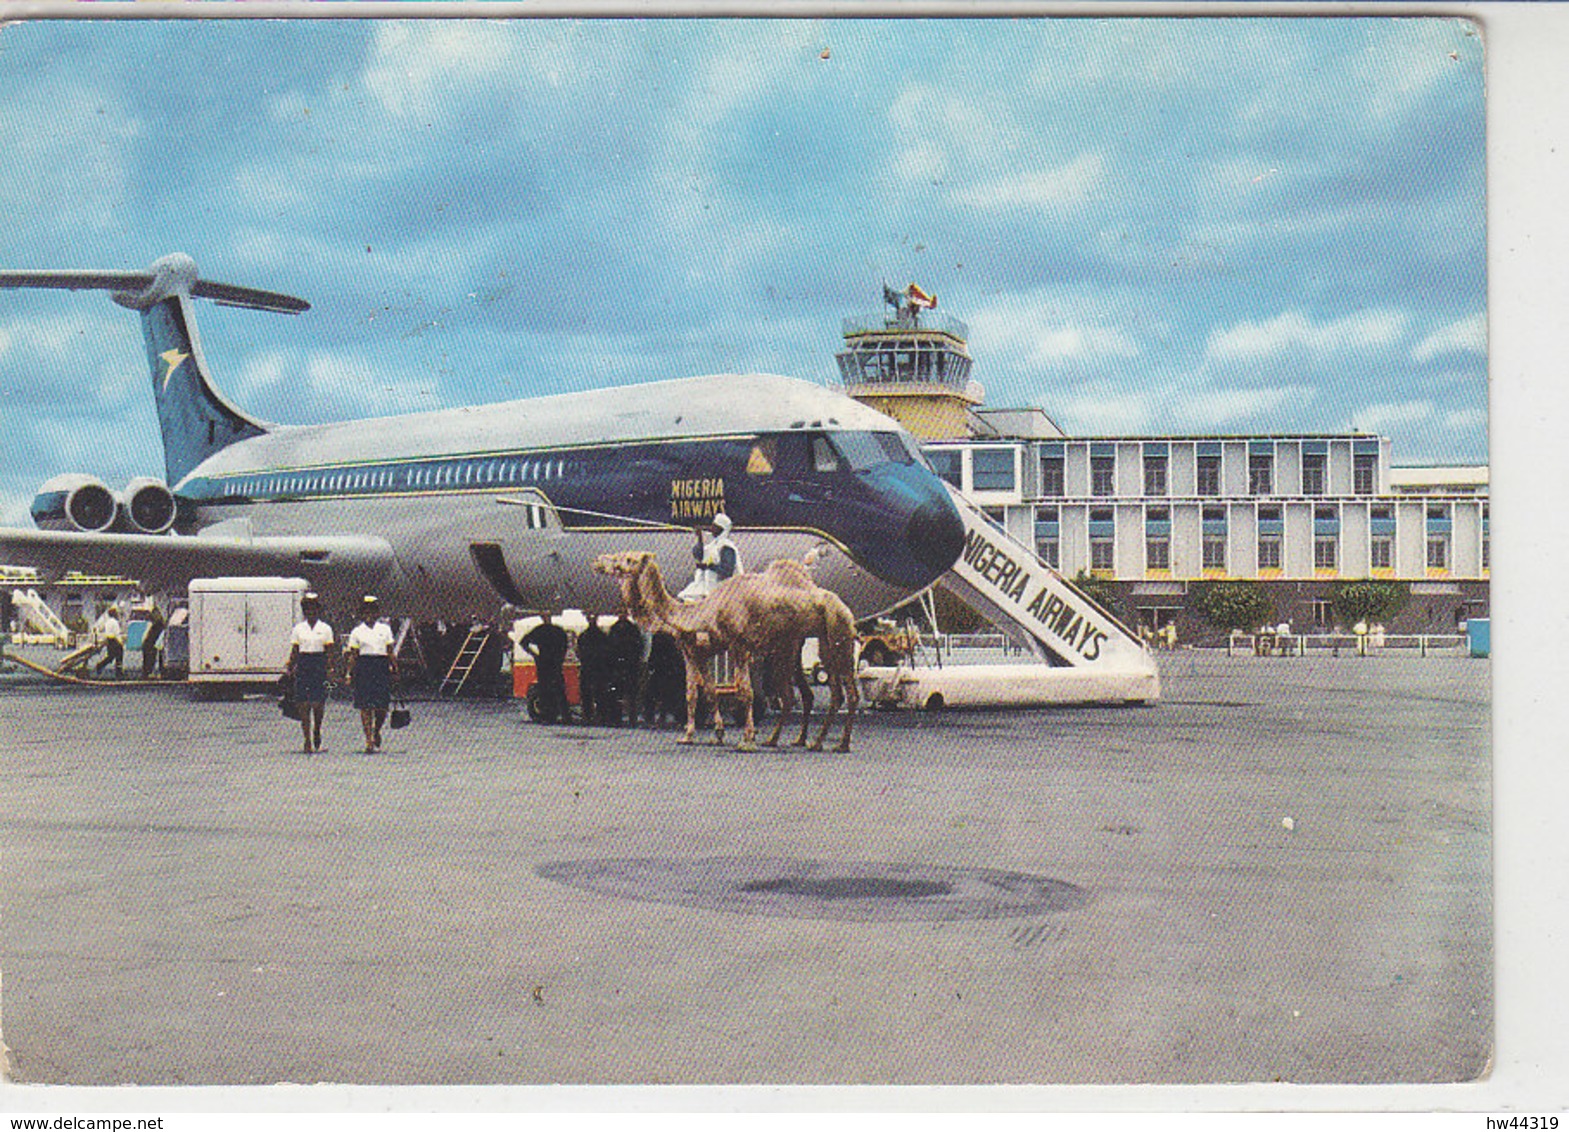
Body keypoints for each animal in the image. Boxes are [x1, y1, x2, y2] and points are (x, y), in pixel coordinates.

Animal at [589, 549, 859, 750]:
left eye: (628, 559)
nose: (598, 561)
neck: (702, 611)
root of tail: (845, 607)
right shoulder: (702, 652)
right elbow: (700, 692)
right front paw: (698, 735)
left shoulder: (737, 644)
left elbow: (744, 692)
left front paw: (746, 739)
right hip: (815, 640)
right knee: (823, 693)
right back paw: (805, 741)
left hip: (839, 632)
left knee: (846, 691)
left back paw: (839, 744)